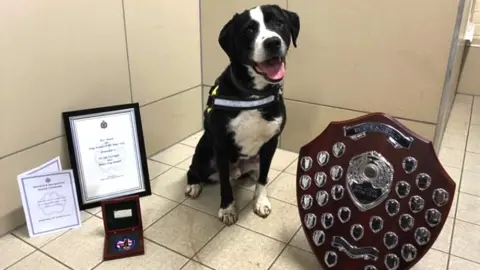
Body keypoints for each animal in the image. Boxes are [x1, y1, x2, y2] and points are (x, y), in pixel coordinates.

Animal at [186, 4, 298, 226]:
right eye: (249, 30)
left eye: (279, 22)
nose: (273, 42)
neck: (253, 93)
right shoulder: (220, 146)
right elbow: (225, 185)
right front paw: (228, 208)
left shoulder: (270, 143)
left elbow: (263, 179)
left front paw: (261, 201)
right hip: (205, 155)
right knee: (194, 170)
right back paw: (193, 185)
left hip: (254, 160)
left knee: (254, 174)